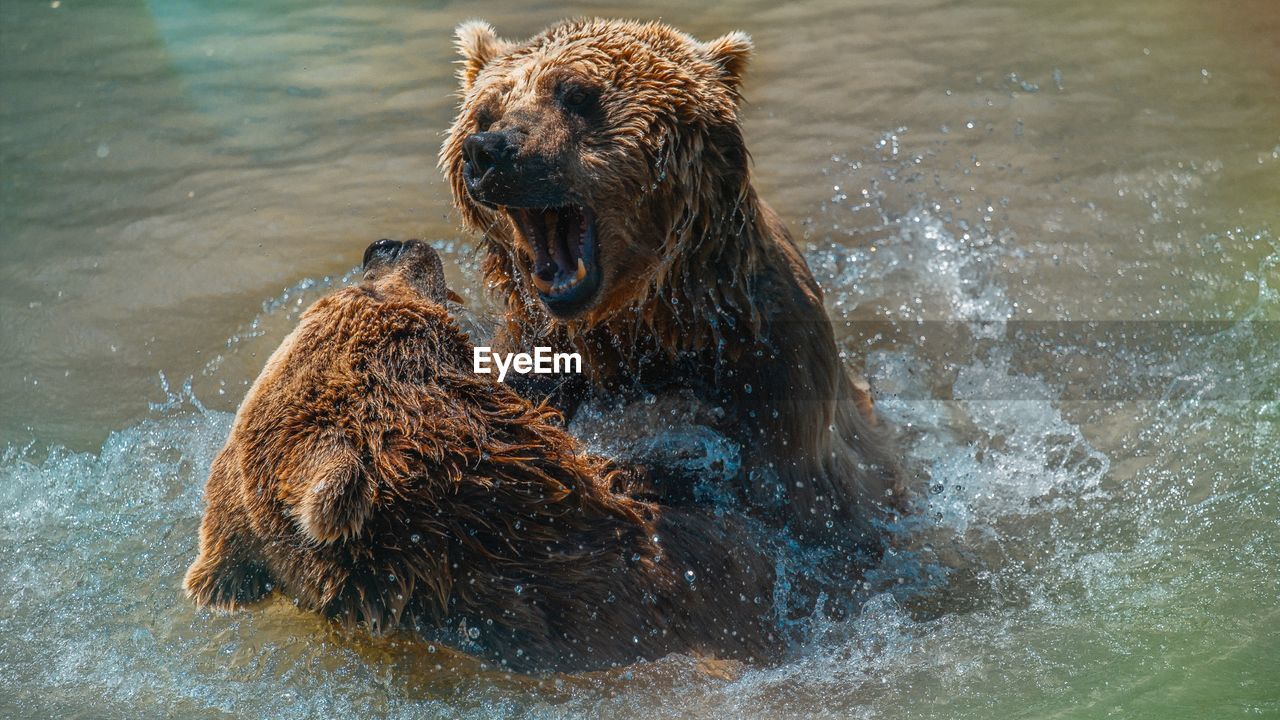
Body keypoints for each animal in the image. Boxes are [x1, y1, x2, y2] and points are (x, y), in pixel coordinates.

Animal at [442, 20, 921, 548]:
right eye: (485, 111)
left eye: (576, 93)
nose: (489, 150)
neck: (650, 322)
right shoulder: (536, 353)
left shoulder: (772, 373)